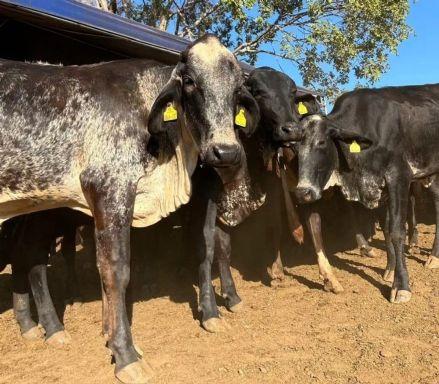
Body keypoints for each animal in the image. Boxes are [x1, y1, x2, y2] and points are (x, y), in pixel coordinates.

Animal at [292, 85, 439, 304]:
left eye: (321, 142)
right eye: (294, 146)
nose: (302, 192)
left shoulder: (399, 176)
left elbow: (397, 231)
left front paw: (401, 286)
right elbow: (384, 230)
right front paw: (389, 270)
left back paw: (433, 257)